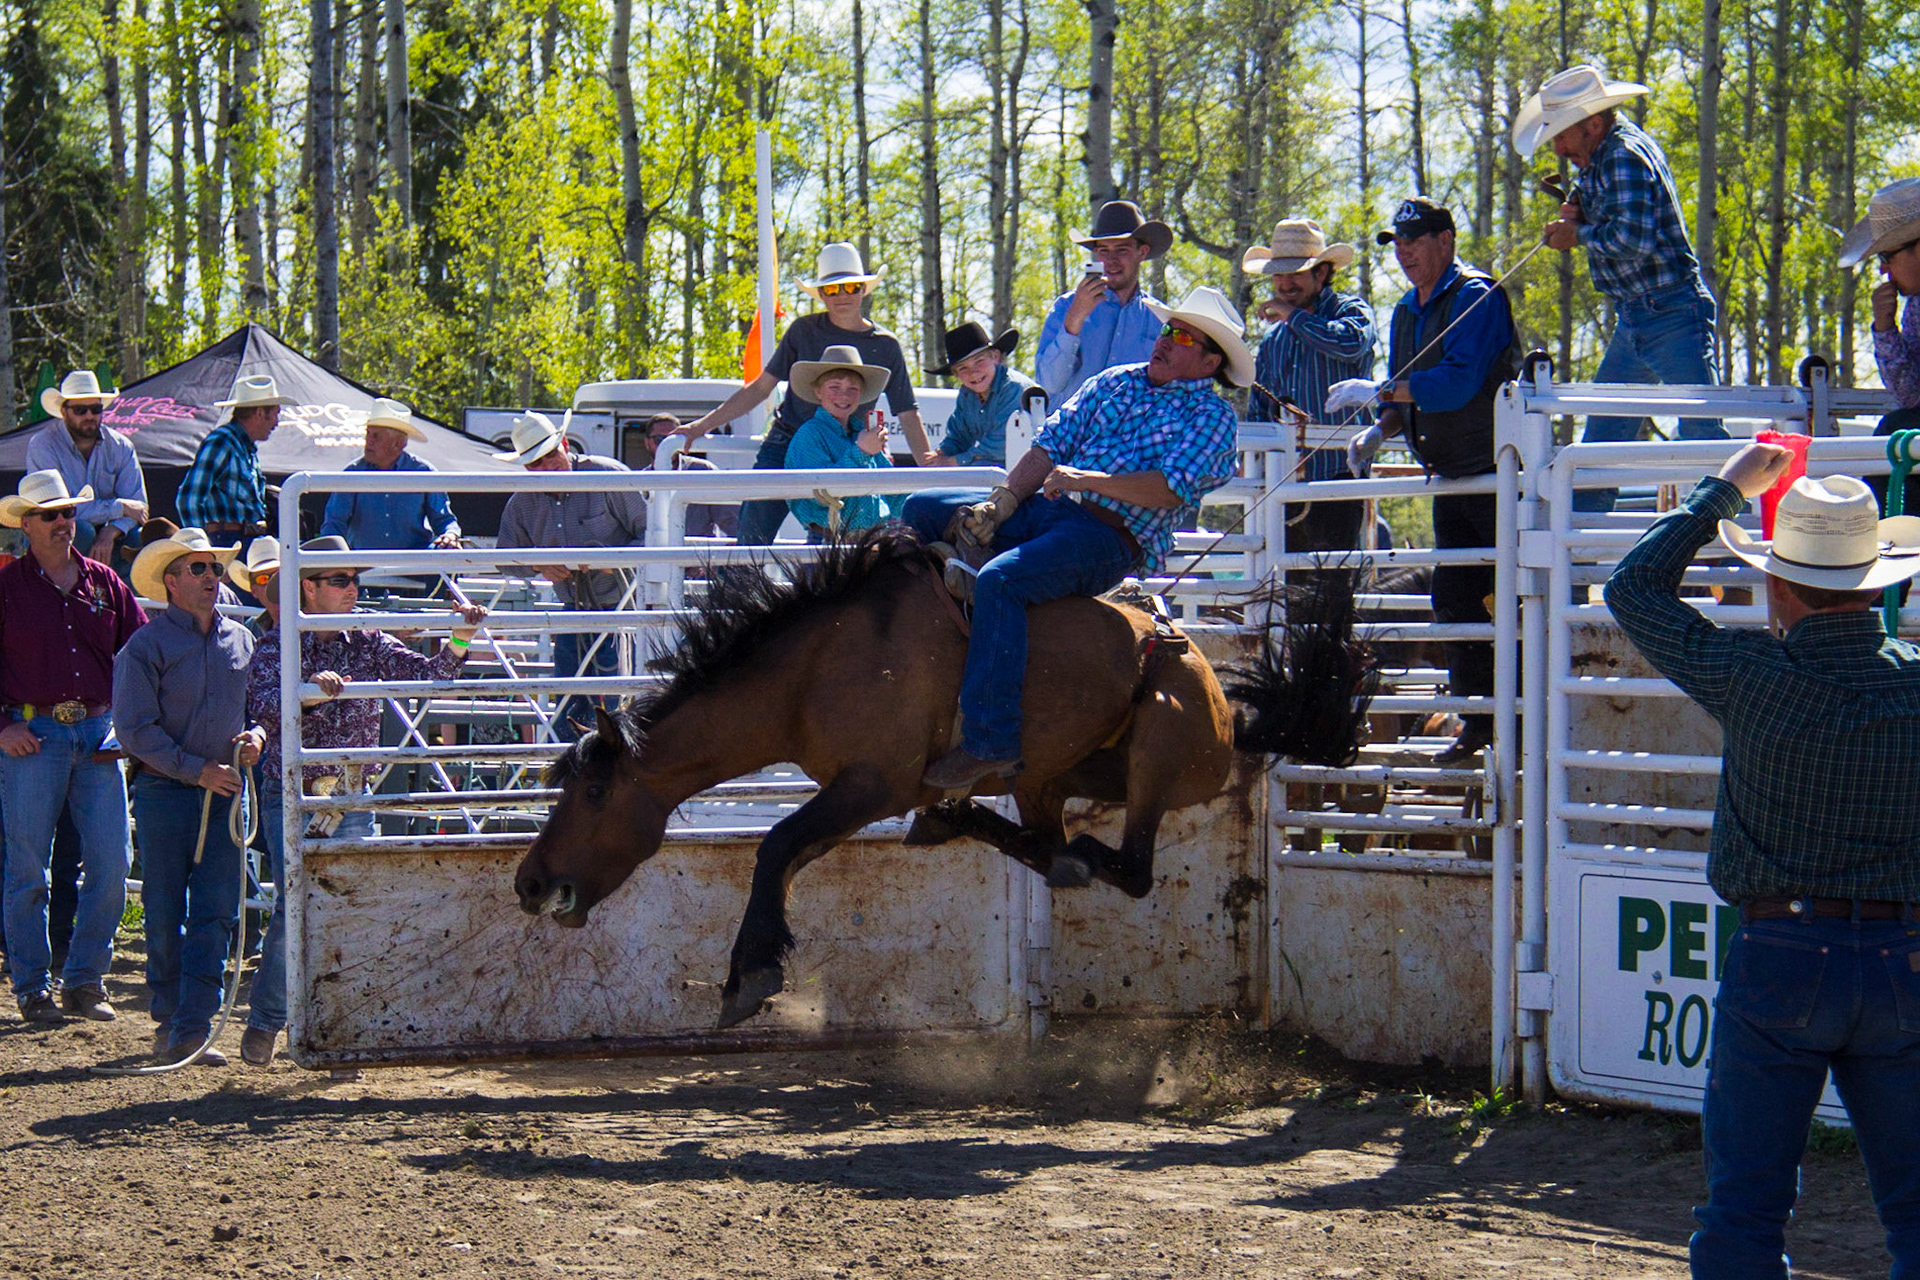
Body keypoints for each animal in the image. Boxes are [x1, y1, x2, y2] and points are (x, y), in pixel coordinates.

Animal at [513, 527, 1375, 1029]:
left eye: (594, 792)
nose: (529, 881)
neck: (817, 666)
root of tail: (1232, 712)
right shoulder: (856, 794)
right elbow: (789, 855)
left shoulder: (870, 785)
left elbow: (774, 847)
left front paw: (746, 977)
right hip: (1053, 774)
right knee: (1048, 834)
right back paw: (970, 821)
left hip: (1160, 744)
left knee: (1128, 866)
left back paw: (1046, 846)